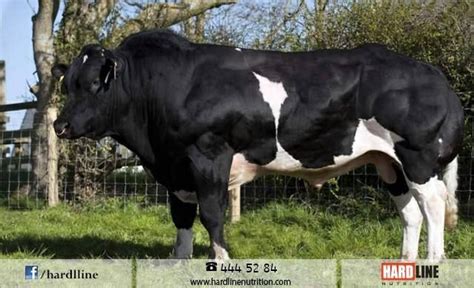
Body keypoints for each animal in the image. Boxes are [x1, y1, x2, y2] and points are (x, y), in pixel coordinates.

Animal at [51, 29, 462, 260]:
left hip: (418, 156)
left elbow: (211, 215)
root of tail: (434, 75)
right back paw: (405, 263)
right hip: (387, 163)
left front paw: (221, 261)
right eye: (67, 83)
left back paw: (432, 262)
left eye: (94, 83)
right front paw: (178, 262)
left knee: (433, 205)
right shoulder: (175, 168)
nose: (60, 125)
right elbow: (182, 218)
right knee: (410, 212)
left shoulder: (208, 156)